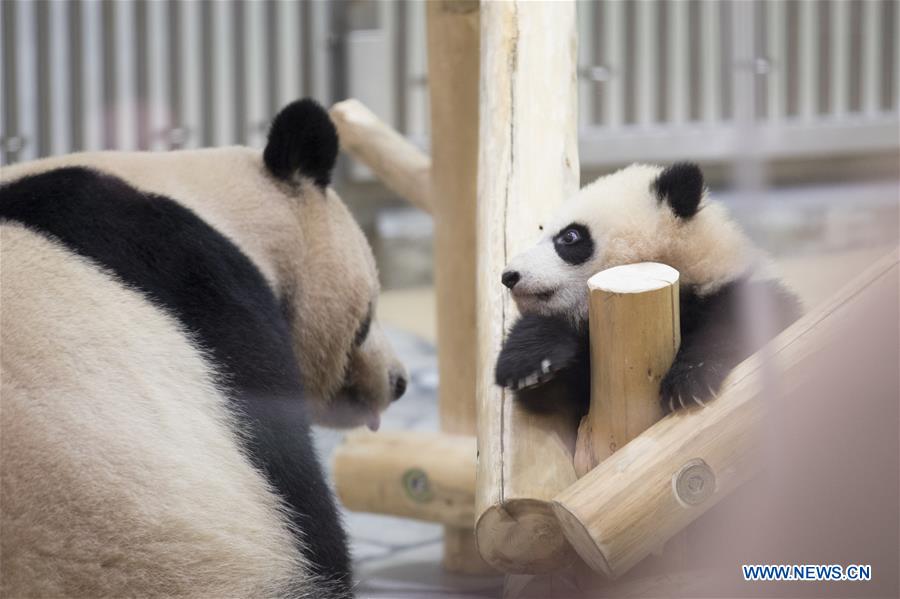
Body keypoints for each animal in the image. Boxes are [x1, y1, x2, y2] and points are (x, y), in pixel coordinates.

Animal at [494, 162, 802, 414]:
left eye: (570, 237)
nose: (509, 276)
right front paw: (526, 362)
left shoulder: (739, 292)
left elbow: (735, 328)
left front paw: (689, 382)